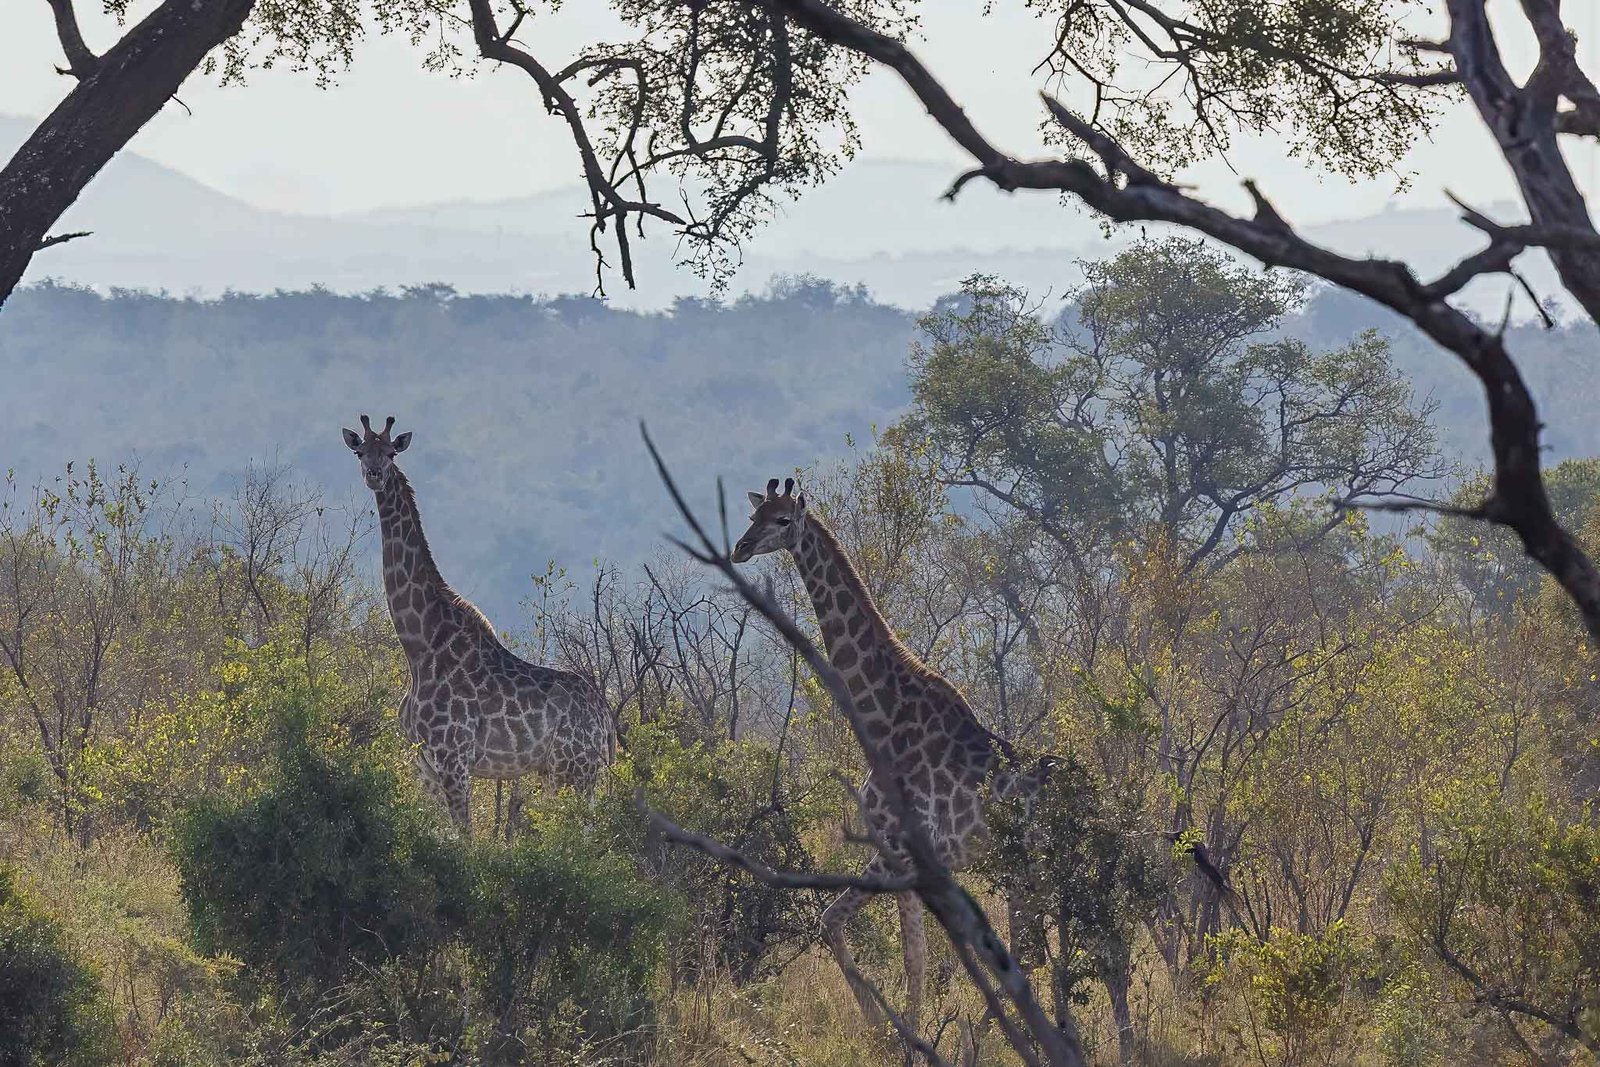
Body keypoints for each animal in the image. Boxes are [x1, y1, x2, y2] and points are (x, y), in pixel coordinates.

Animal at [343, 415, 614, 833]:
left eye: (390, 453)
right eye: (360, 451)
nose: (374, 474)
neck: (419, 646)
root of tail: (607, 720)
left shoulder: (453, 758)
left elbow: (466, 838)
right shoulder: (424, 765)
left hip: (574, 770)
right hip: (569, 773)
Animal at [731, 477, 1052, 1035]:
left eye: (783, 521)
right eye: (755, 515)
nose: (740, 548)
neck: (882, 713)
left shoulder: (905, 852)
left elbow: (902, 953)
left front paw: (899, 1031)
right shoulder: (897, 854)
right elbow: (851, 928)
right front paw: (885, 1024)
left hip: (1025, 872)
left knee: (1031, 953)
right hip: (1022, 875)